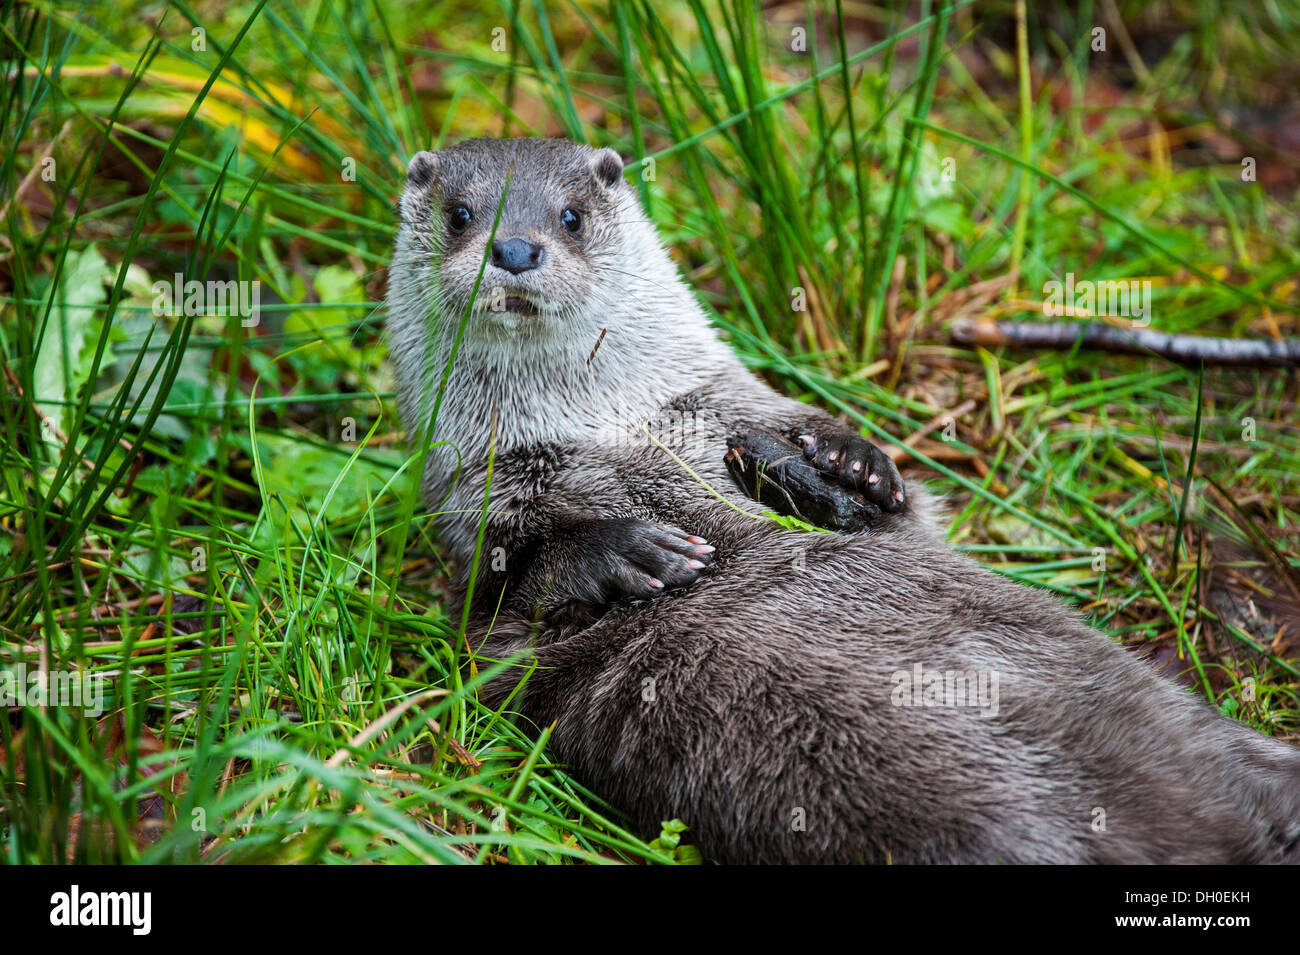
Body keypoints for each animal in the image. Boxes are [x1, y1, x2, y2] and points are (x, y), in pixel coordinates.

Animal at [384, 136, 1300, 867]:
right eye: (462, 214)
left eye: (571, 216)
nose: (514, 247)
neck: (609, 422)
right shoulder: (477, 501)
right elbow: (500, 606)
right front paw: (629, 548)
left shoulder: (723, 398)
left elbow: (902, 510)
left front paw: (840, 467)